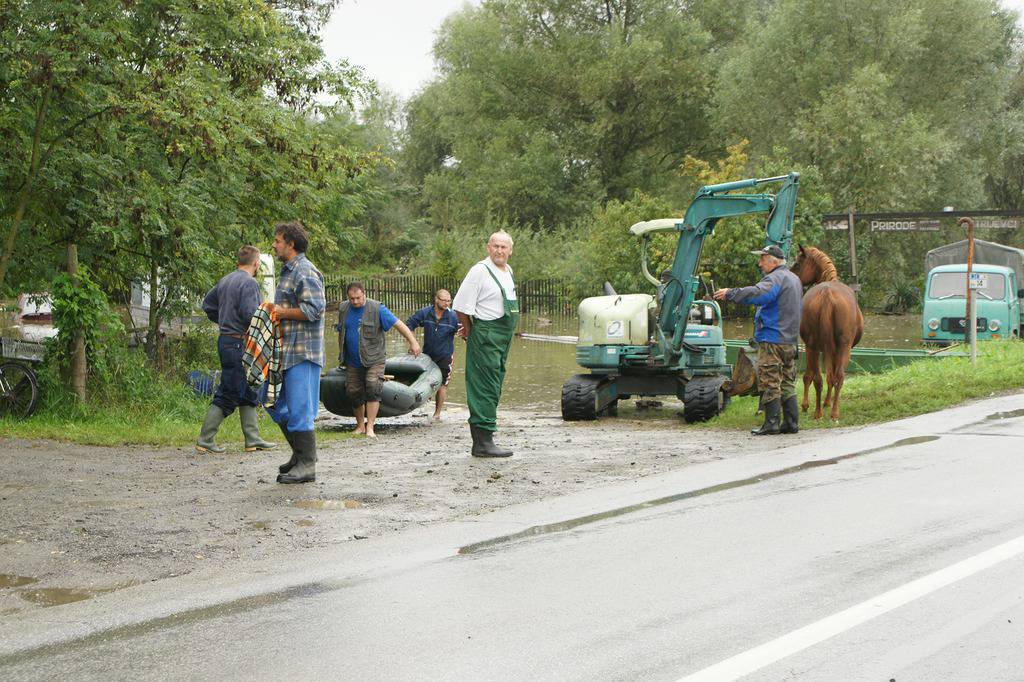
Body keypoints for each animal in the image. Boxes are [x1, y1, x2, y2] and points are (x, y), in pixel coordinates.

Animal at [790, 244, 864, 419]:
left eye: (797, 264)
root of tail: (826, 295)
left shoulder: (819, 348)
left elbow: (813, 375)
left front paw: (811, 404)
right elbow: (829, 376)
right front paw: (826, 403)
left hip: (814, 346)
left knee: (820, 377)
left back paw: (819, 412)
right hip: (841, 346)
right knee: (838, 375)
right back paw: (833, 412)